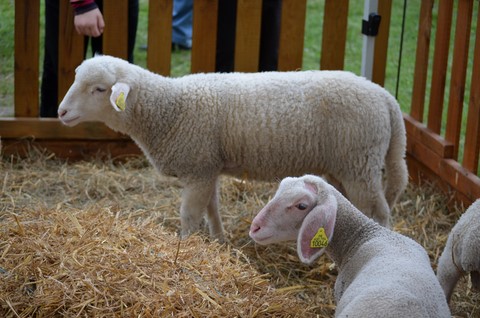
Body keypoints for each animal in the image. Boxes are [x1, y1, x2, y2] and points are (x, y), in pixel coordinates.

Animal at [57, 55, 408, 241]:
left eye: (99, 89)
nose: (61, 112)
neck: (169, 109)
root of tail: (385, 97)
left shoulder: (197, 168)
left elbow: (189, 214)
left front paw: (185, 245)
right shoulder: (208, 167)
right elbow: (212, 208)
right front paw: (218, 240)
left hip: (359, 163)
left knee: (379, 212)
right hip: (343, 165)